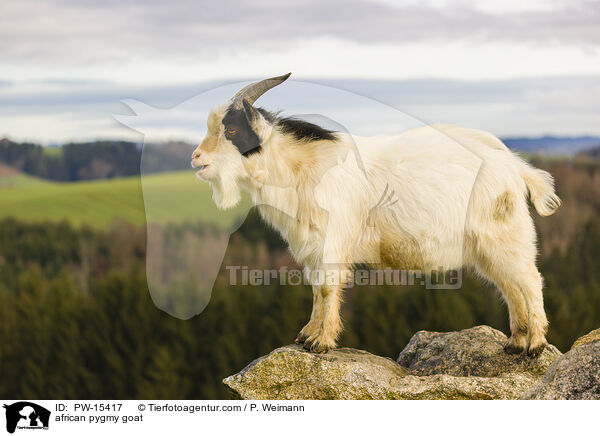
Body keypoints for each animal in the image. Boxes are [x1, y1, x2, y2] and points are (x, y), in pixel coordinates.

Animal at [192, 73, 564, 356]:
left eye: (233, 131)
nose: (196, 158)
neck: (301, 168)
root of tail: (515, 168)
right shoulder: (310, 245)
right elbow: (315, 288)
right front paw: (307, 335)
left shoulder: (331, 240)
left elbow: (327, 287)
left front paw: (322, 342)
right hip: (488, 248)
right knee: (510, 286)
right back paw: (515, 342)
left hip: (505, 235)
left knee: (530, 280)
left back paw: (534, 344)